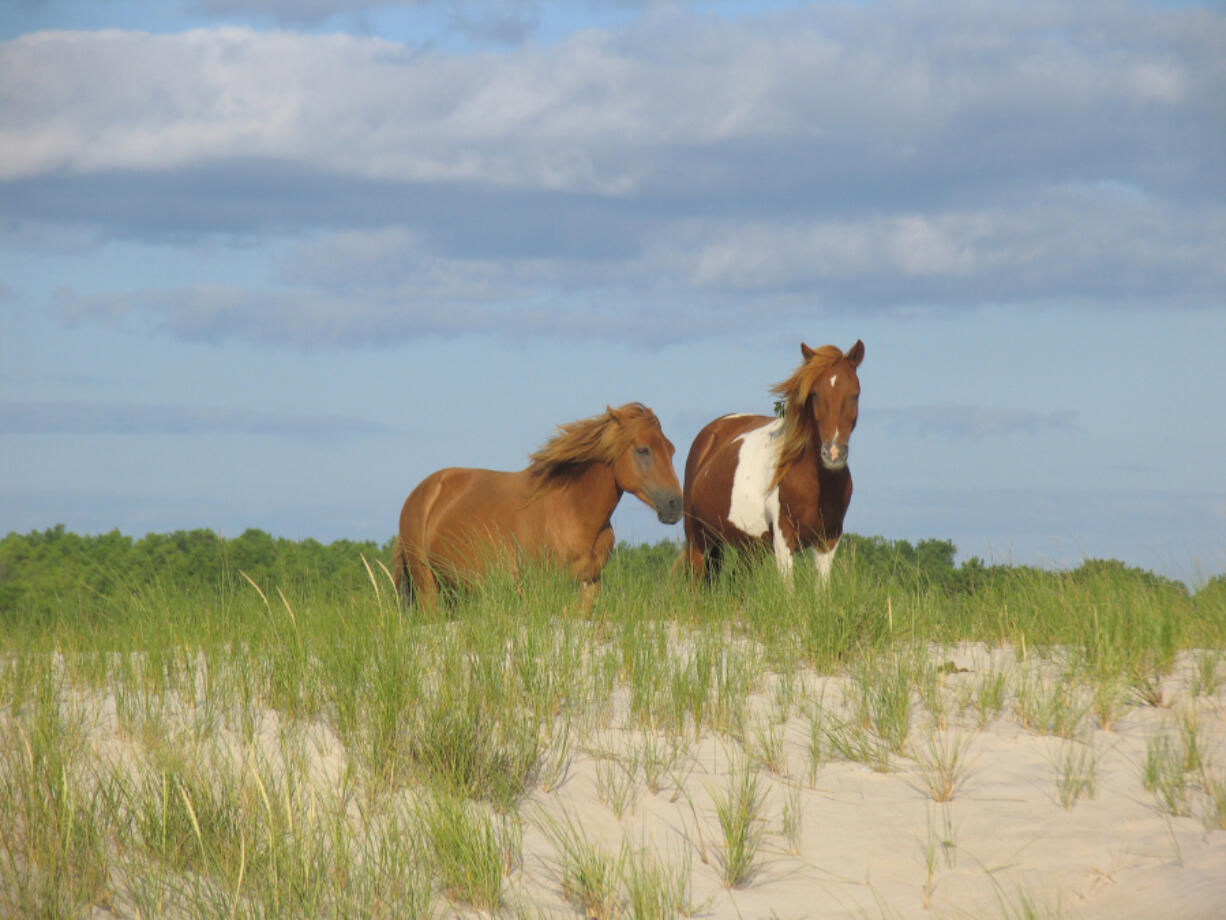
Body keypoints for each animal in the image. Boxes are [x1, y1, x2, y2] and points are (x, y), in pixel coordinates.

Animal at [392, 404, 681, 608]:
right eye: (643, 450)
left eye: (671, 449)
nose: (675, 505)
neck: (572, 511)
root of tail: (423, 491)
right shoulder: (540, 589)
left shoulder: (588, 586)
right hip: (427, 586)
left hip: (452, 589)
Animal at [681, 343, 863, 586]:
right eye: (814, 393)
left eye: (855, 394)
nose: (833, 454)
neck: (815, 484)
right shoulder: (783, 536)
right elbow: (788, 586)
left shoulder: (829, 539)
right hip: (698, 540)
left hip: (749, 547)